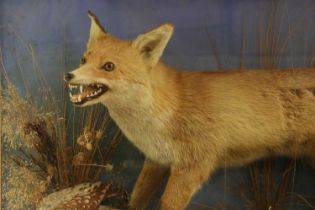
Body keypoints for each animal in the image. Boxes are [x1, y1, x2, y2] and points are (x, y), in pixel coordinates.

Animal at [65, 11, 315, 210]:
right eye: (83, 60)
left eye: (108, 66)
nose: (69, 75)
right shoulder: (156, 160)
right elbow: (136, 199)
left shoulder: (193, 166)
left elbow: (167, 204)